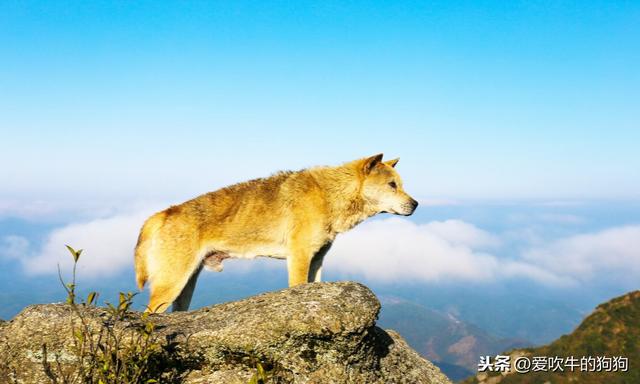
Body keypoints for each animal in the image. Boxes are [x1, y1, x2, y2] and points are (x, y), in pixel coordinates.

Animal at [132, 154, 418, 312]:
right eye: (392, 185)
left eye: (401, 185)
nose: (415, 204)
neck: (329, 195)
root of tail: (163, 213)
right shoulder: (299, 258)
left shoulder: (316, 261)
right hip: (170, 286)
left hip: (185, 287)